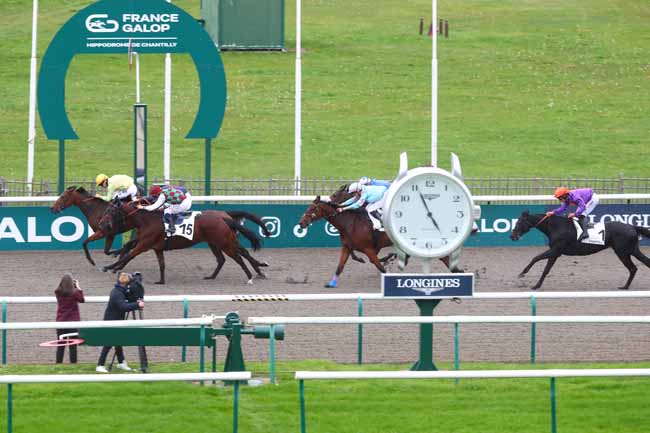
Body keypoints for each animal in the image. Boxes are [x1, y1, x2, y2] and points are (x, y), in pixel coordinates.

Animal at [98, 202, 268, 286]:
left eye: (111, 211)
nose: (101, 224)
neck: (146, 220)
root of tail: (224, 217)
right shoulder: (155, 247)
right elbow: (161, 264)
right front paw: (161, 281)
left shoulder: (143, 245)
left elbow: (128, 256)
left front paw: (109, 267)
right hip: (216, 243)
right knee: (225, 258)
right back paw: (212, 276)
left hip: (225, 243)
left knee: (238, 257)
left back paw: (251, 276)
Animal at [298, 196, 456, 286]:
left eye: (312, 208)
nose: (301, 223)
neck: (350, 223)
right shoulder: (347, 247)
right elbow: (340, 266)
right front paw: (331, 283)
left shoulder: (369, 249)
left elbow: (379, 266)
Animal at [506, 210, 648, 290]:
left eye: (519, 222)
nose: (512, 236)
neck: (556, 227)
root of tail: (632, 227)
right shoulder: (555, 253)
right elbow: (546, 270)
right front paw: (536, 286)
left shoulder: (556, 250)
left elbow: (535, 258)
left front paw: (522, 273)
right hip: (632, 250)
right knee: (639, 266)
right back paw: (625, 286)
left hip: (623, 252)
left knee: (633, 268)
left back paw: (625, 286)